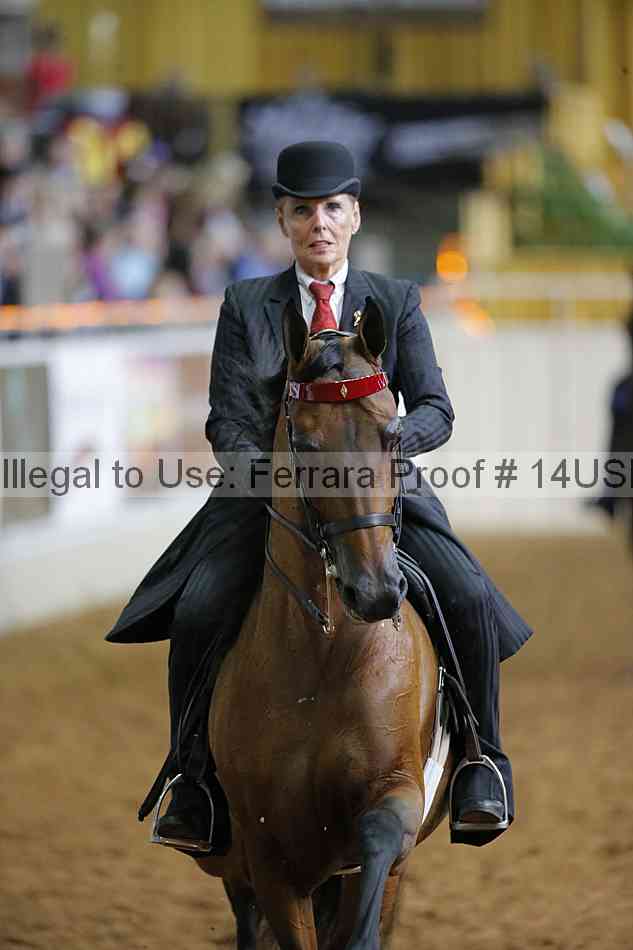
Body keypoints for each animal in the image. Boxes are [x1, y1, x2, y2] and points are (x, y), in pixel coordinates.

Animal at [191, 299, 453, 949]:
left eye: (392, 435)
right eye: (305, 444)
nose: (377, 591)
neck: (326, 653)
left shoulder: (396, 796)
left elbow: (379, 842)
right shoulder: (270, 861)